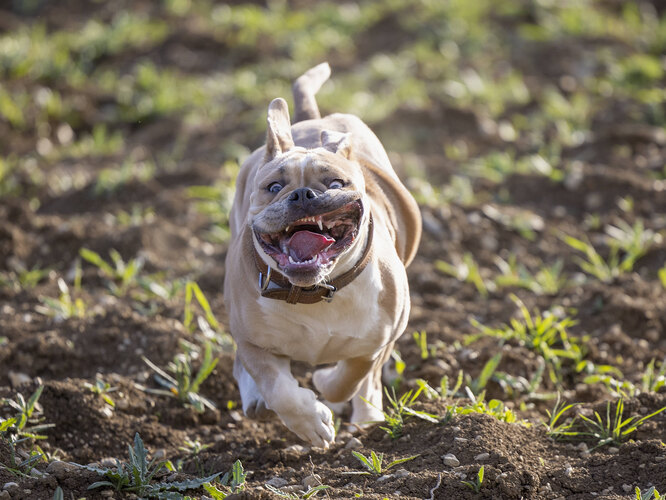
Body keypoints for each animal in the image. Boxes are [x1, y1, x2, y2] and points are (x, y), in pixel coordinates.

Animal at [223, 63, 420, 450]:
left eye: (335, 184)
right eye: (273, 187)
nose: (302, 194)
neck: (315, 291)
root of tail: (310, 118)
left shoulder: (379, 338)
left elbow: (353, 376)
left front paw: (327, 386)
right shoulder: (251, 338)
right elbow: (279, 388)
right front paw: (311, 421)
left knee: (367, 380)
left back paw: (366, 415)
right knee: (245, 369)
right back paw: (256, 401)